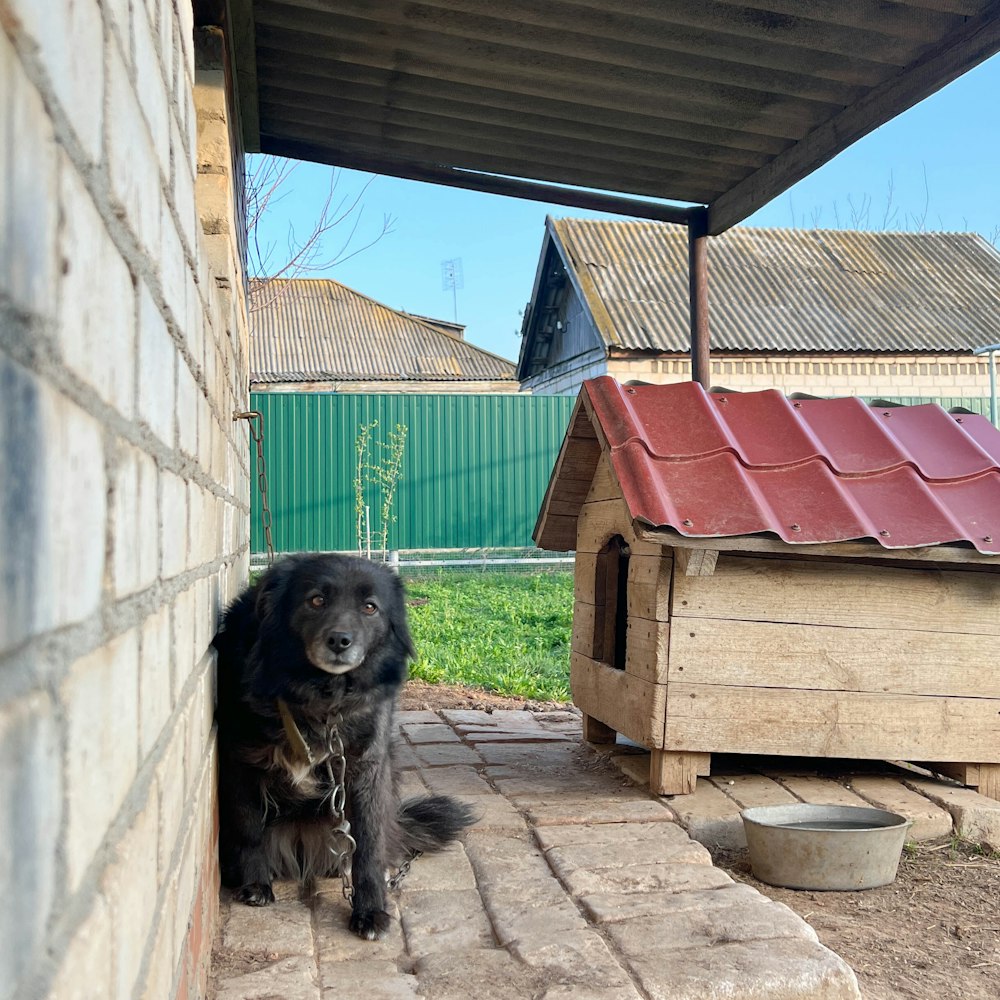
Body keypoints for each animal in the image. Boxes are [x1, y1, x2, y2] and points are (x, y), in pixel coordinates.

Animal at [212, 556, 476, 936]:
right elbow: (249, 829)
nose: (339, 640)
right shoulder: (241, 760)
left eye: (370, 607)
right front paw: (255, 883)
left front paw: (371, 908)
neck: (321, 697)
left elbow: (368, 845)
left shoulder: (366, 768)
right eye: (316, 600)